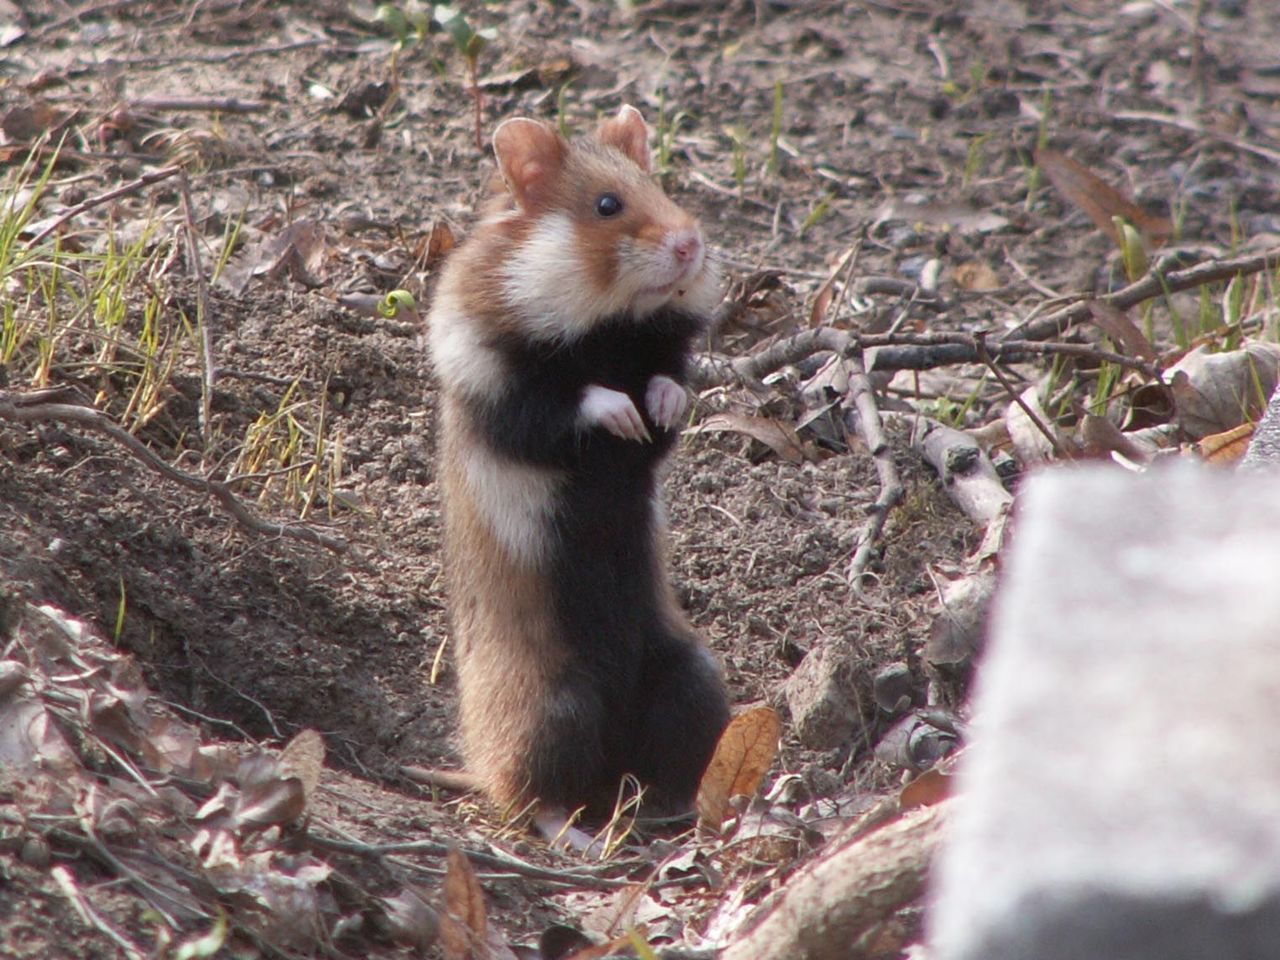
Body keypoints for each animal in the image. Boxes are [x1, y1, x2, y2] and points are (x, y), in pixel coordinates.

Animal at [430, 106, 732, 829]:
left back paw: (678, 811)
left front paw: (658, 402)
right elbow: (570, 401)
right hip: (552, 707)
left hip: (693, 677)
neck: (605, 325)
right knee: (532, 798)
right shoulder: (498, 390)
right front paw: (620, 411)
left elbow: (667, 388)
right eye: (606, 205)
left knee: (668, 767)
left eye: (659, 186)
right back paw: (580, 833)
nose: (691, 244)